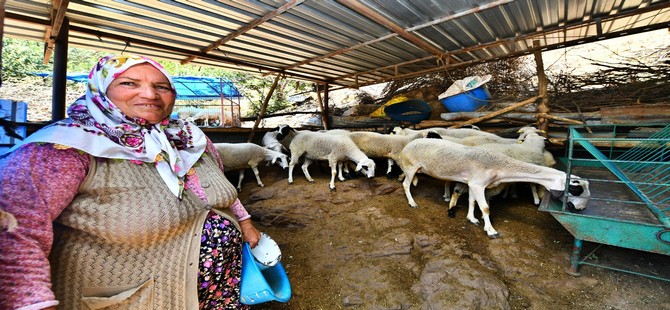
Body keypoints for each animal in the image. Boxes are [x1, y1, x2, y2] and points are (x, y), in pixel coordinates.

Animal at [396, 138, 592, 237]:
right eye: (576, 189)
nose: (580, 209)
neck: (500, 166)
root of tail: (407, 145)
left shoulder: (473, 184)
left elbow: (472, 202)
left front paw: (472, 219)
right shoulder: (477, 184)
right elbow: (485, 207)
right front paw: (491, 230)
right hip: (411, 167)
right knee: (406, 184)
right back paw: (412, 203)